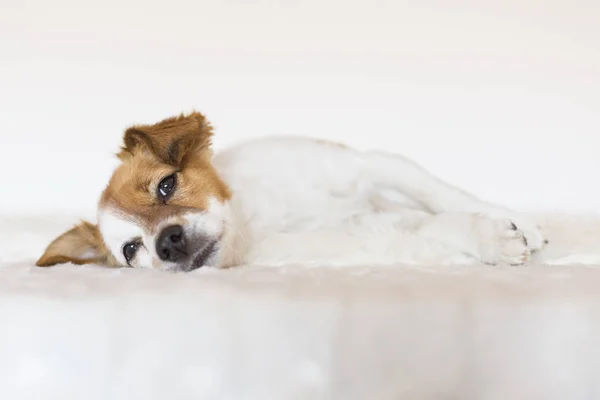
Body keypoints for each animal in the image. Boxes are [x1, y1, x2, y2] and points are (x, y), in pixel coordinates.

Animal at [35, 111, 548, 270]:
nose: (168, 242)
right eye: (130, 250)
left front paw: (522, 221)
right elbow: (436, 227)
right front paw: (493, 238)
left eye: (166, 185)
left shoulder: (373, 165)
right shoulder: (370, 237)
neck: (255, 217)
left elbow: (446, 195)